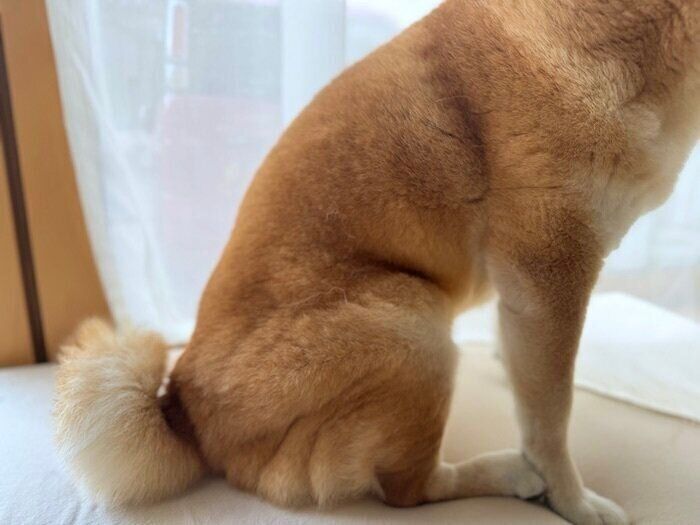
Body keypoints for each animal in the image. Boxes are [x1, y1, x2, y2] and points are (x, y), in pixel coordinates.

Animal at [55, 1, 699, 523]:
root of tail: (184, 405)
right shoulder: (550, 275)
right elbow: (551, 420)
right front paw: (572, 501)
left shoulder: (525, 296)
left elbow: (528, 382)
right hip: (414, 327)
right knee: (408, 490)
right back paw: (505, 473)